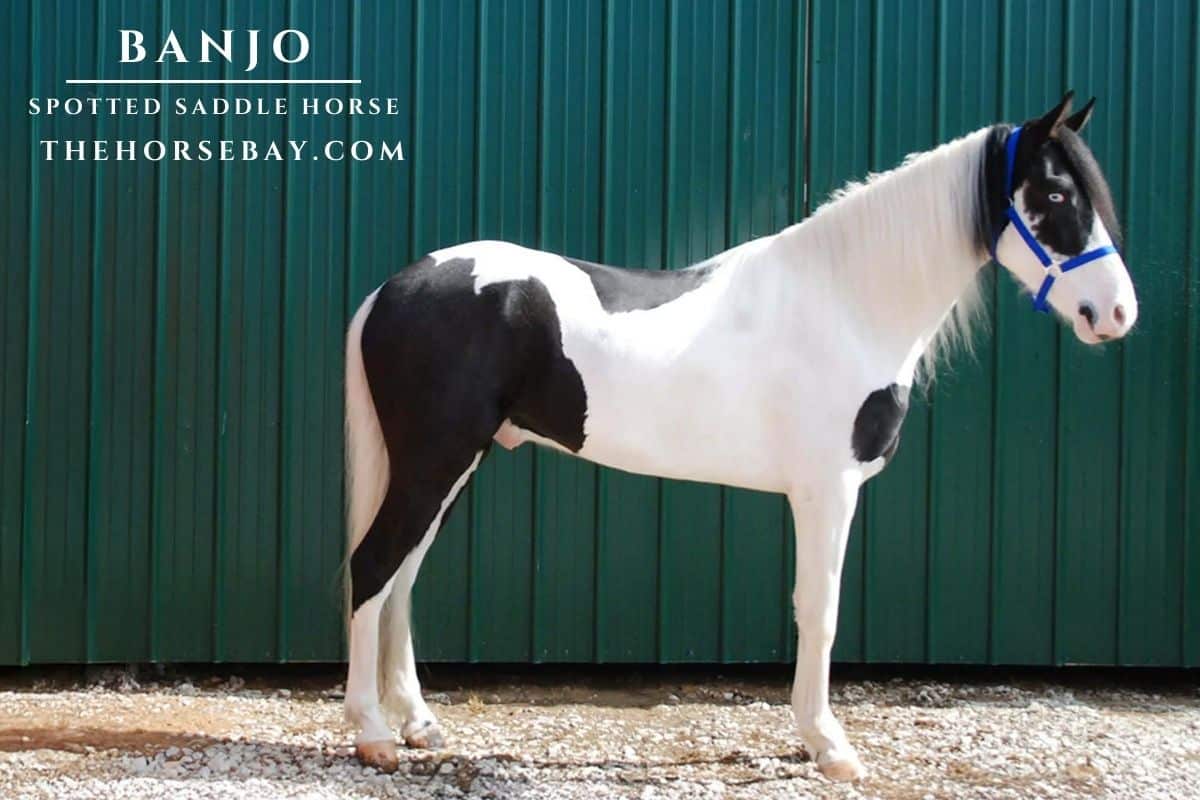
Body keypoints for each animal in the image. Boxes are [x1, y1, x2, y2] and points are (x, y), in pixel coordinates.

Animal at [341, 92, 1137, 781]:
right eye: (1057, 195)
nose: (1117, 313)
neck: (847, 302)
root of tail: (391, 289)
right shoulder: (826, 490)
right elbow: (819, 609)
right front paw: (828, 746)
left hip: (450, 463)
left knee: (403, 577)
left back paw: (418, 724)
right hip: (433, 461)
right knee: (374, 567)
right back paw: (374, 735)